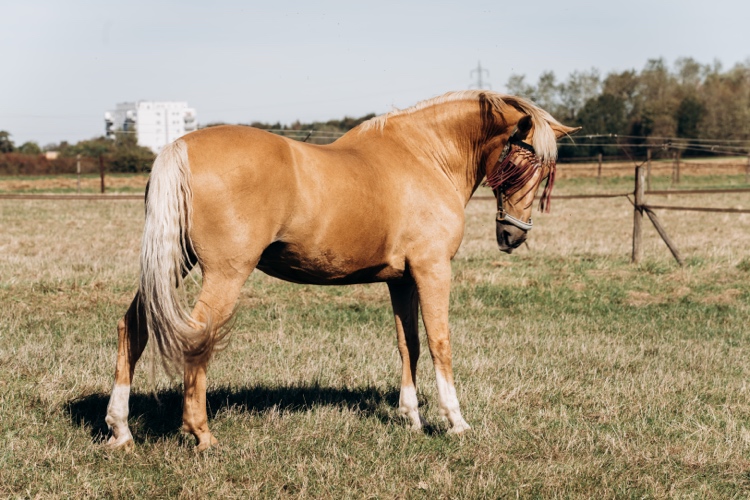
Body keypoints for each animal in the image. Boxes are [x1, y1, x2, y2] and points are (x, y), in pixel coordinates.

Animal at [103, 91, 580, 454]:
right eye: (521, 164)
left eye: (546, 173)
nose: (512, 235)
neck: (424, 156)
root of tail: (179, 147)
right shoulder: (432, 271)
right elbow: (439, 343)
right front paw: (455, 421)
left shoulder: (401, 281)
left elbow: (408, 345)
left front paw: (411, 418)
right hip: (224, 274)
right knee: (196, 336)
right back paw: (201, 433)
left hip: (173, 264)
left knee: (133, 328)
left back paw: (120, 429)